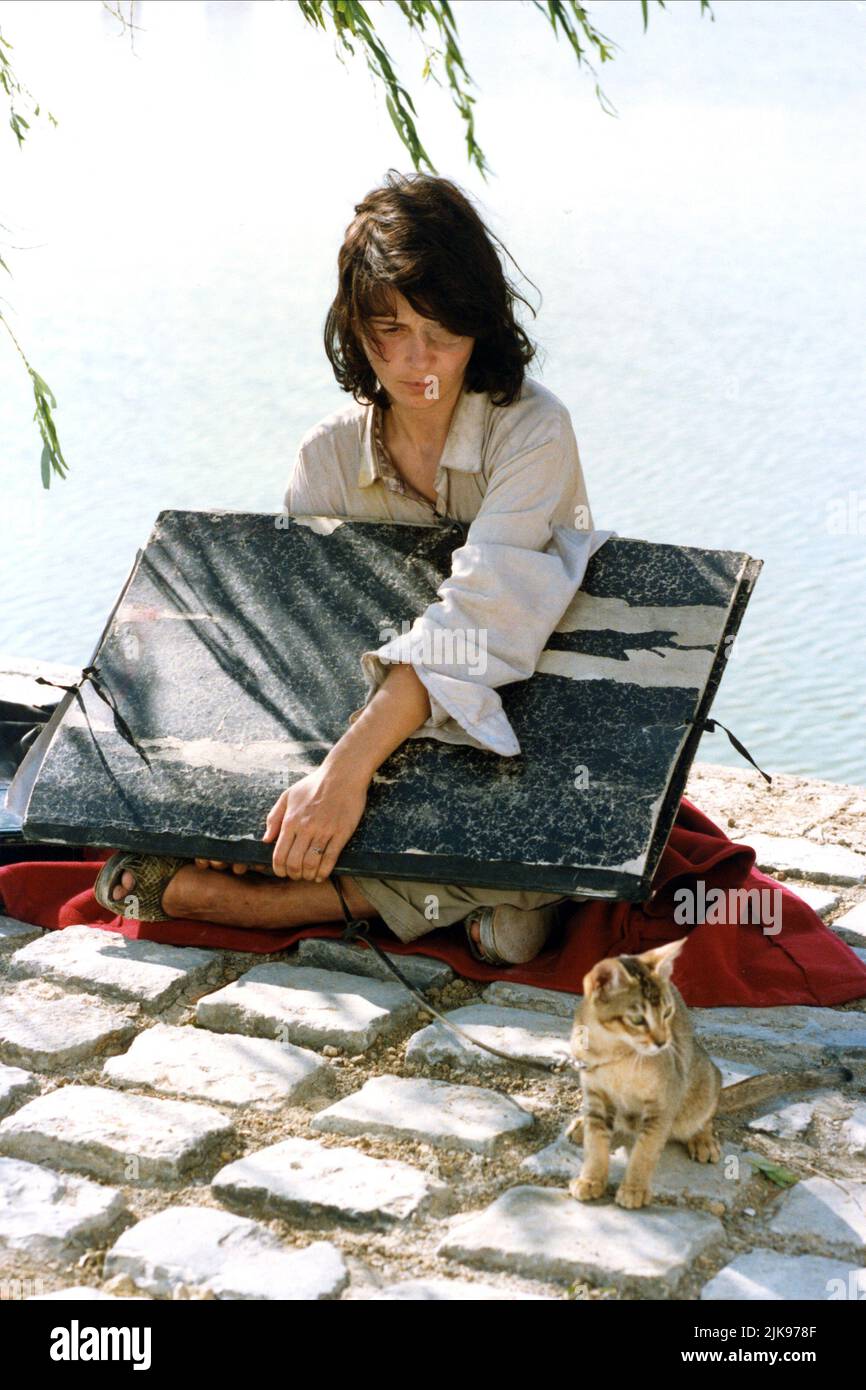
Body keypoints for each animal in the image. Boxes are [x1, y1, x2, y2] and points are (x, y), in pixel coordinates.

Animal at [569, 939, 856, 1212]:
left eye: (667, 1013)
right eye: (638, 1020)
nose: (663, 1042)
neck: (615, 1052)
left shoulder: (664, 1101)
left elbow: (645, 1151)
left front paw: (634, 1189)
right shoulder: (595, 1095)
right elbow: (596, 1143)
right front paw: (591, 1179)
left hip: (703, 1081)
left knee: (706, 1113)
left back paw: (703, 1140)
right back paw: (582, 1125)